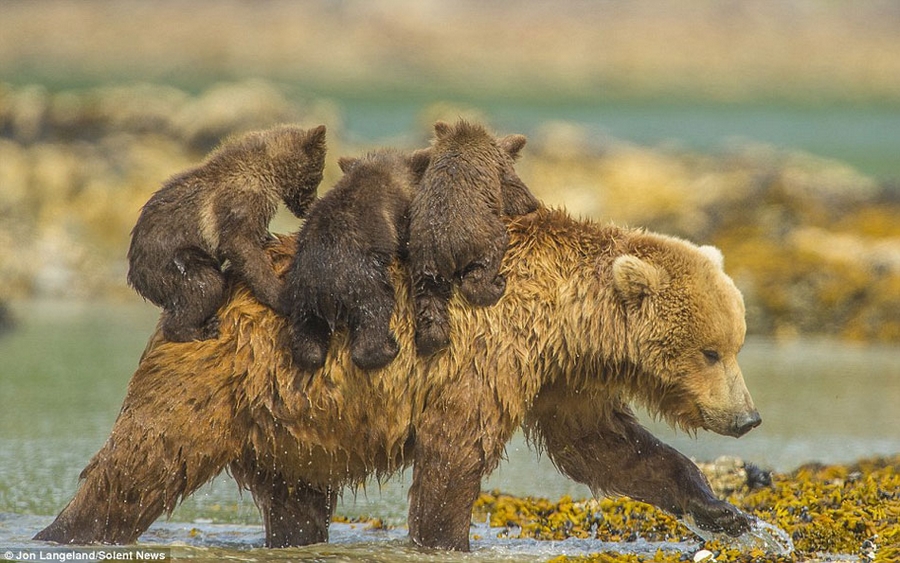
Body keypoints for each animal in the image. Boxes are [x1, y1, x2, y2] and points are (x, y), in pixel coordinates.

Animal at [38, 206, 764, 552]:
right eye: (710, 351)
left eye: (736, 343)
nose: (747, 416)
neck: (564, 320)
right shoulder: (485, 354)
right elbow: (454, 454)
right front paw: (447, 539)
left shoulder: (558, 377)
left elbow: (607, 448)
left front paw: (726, 512)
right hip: (214, 385)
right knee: (138, 468)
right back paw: (63, 532)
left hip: (293, 427)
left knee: (297, 503)